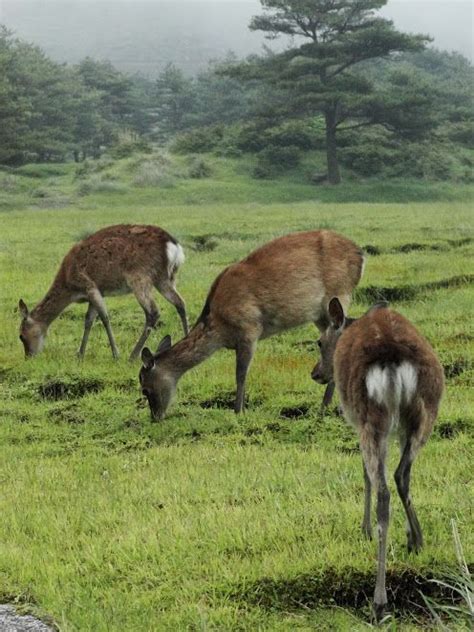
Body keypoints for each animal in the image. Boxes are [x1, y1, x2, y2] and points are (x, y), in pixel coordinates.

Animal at [18, 223, 189, 360]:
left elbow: (104, 318)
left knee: (153, 312)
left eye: (21, 336)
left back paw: (132, 356)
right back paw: (187, 342)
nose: (29, 356)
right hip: (165, 278)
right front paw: (80, 354)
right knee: (180, 303)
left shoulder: (90, 286)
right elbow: (88, 320)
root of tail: (174, 247)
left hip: (140, 278)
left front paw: (116, 354)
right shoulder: (97, 292)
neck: (70, 287)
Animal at [139, 231, 364, 420]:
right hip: (320, 314)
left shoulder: (249, 329)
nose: (155, 418)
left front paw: (238, 411)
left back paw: (325, 407)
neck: (219, 328)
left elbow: (240, 374)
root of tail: (360, 256)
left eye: (144, 388)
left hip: (339, 293)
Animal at [312, 300, 444, 624]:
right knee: (402, 474)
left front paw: (364, 530)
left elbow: (365, 475)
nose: (316, 373)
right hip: (424, 413)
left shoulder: (355, 422)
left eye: (319, 341)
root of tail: (393, 360)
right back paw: (417, 540)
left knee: (384, 488)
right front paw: (410, 535)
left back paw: (379, 602)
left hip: (371, 418)